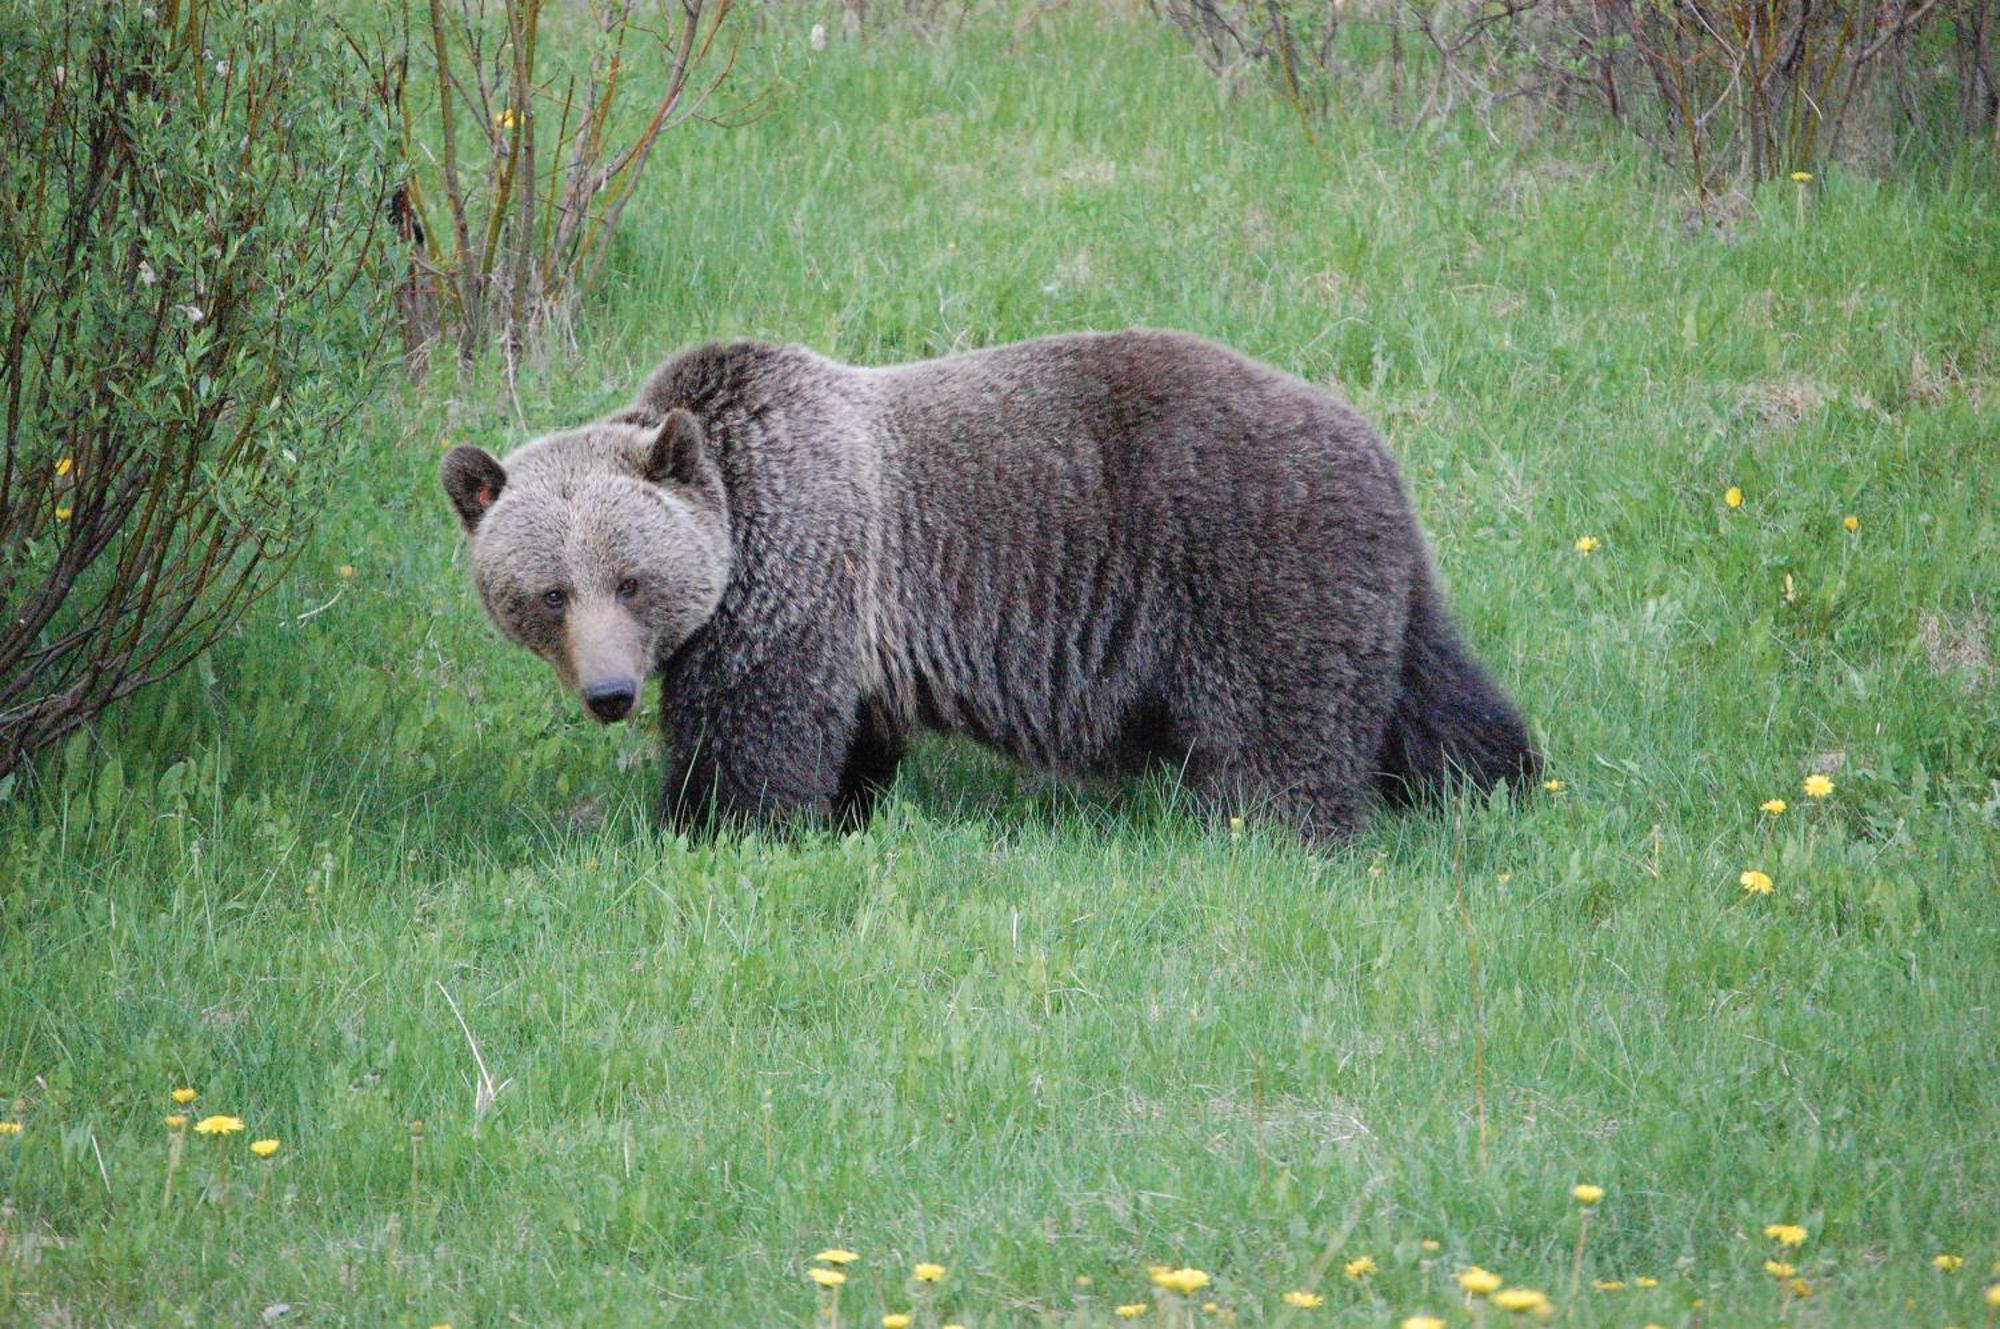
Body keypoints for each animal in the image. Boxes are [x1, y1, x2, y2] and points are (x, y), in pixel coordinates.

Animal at [446, 328, 1536, 840]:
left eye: (630, 581)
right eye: (548, 593)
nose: (610, 692)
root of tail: (1371, 440)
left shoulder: (800, 580)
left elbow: (754, 737)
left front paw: (708, 827)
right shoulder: (856, 634)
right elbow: (852, 738)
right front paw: (838, 815)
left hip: (1251, 565)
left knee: (1283, 739)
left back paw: (1286, 835)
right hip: (1374, 582)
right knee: (1437, 695)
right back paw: (1500, 783)